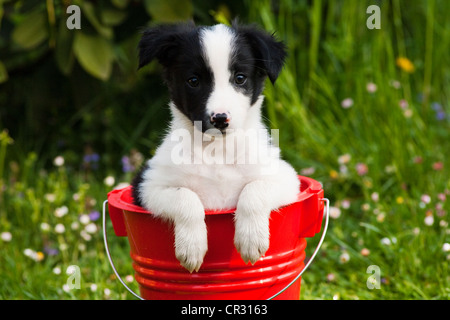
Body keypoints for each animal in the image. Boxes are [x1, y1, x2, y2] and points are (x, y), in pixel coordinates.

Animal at [130, 21, 298, 272]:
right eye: (193, 81)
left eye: (240, 78)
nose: (219, 119)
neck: (217, 152)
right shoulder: (146, 185)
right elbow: (185, 196)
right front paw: (191, 247)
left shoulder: (287, 178)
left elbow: (254, 189)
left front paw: (251, 239)